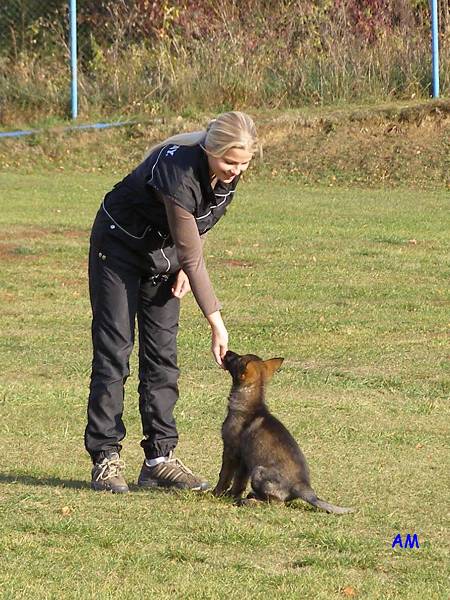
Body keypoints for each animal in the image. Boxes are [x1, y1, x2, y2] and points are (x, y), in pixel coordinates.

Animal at [214, 352, 356, 516]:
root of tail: (303, 487)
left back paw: (250, 502)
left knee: (277, 504)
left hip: (258, 471)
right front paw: (231, 495)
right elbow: (239, 482)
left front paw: (216, 493)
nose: (227, 352)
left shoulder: (230, 451)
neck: (250, 403)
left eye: (236, 358)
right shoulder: (244, 461)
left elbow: (224, 476)